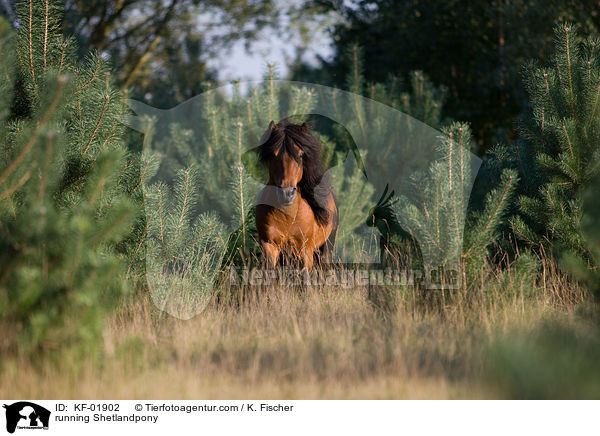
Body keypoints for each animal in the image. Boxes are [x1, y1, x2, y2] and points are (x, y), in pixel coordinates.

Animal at [253, 120, 338, 270]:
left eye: (300, 154)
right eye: (273, 155)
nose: (286, 193)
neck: (287, 217)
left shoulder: (305, 251)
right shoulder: (270, 247)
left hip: (326, 249)